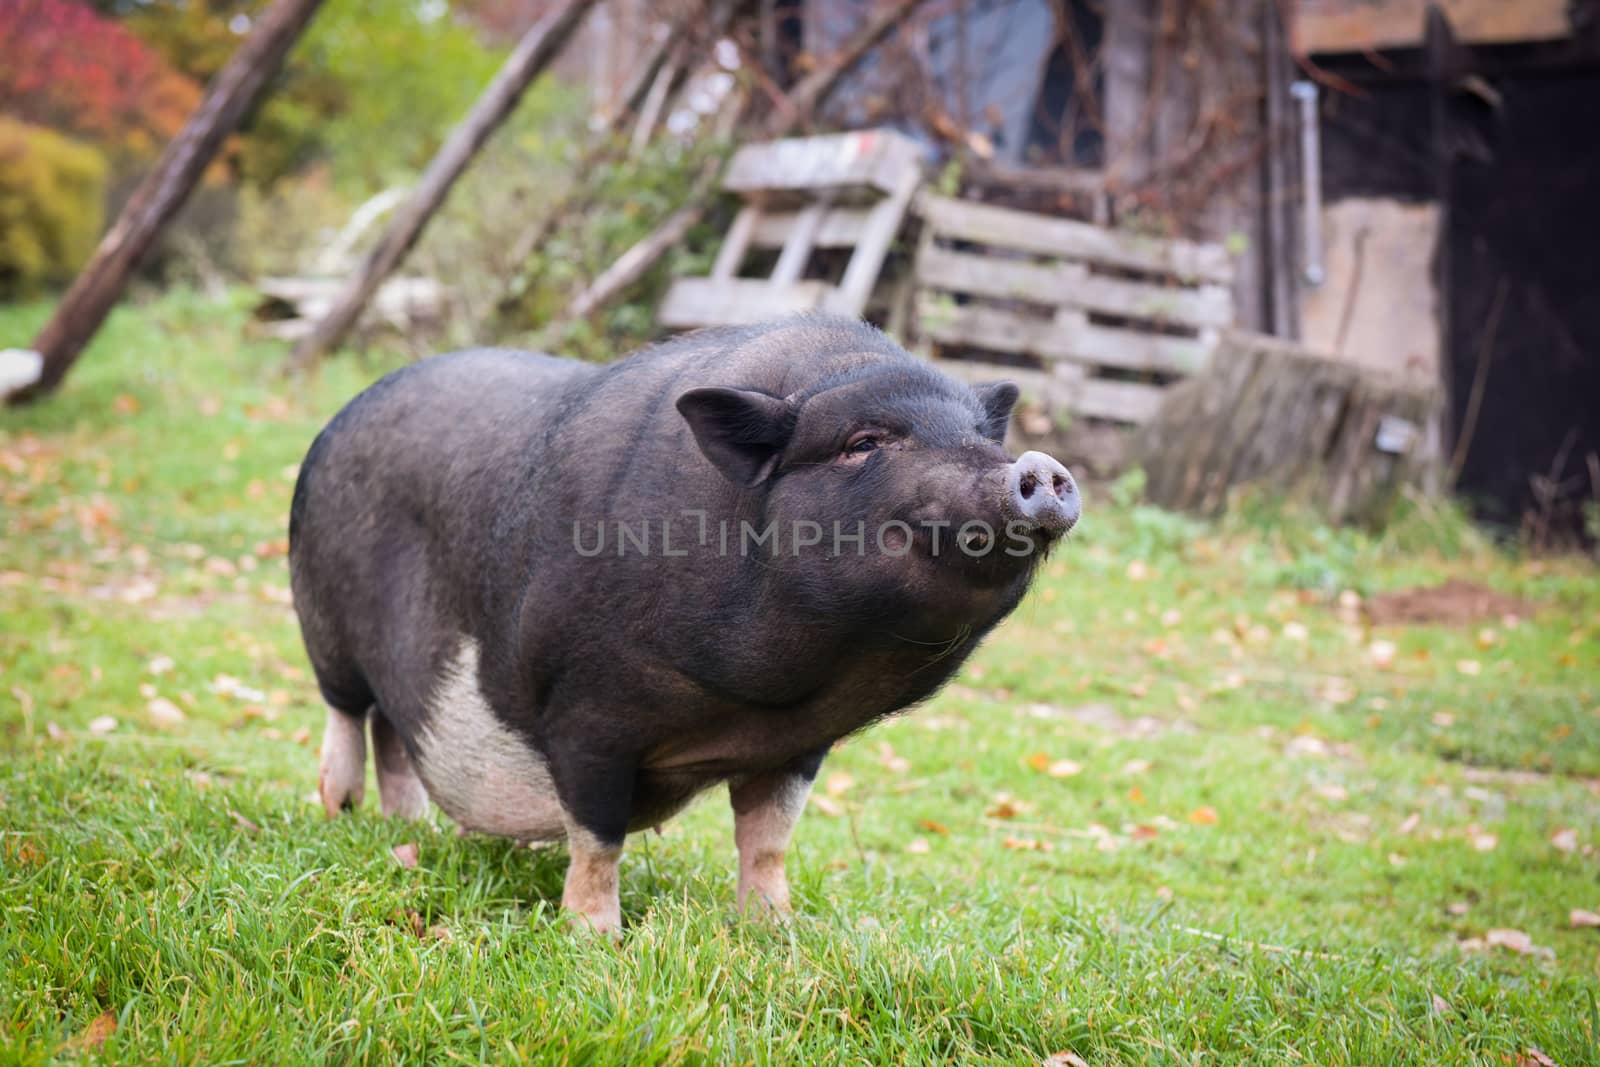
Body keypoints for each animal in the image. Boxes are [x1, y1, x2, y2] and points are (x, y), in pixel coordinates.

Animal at [294, 313, 1081, 927]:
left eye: (979, 433)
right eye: (863, 442)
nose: (1038, 466)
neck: (756, 705)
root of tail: (338, 418)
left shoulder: (798, 746)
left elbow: (768, 839)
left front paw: (776, 933)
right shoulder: (586, 711)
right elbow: (598, 835)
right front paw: (595, 938)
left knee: (394, 732)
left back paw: (407, 829)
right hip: (321, 623)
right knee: (346, 716)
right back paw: (341, 815)